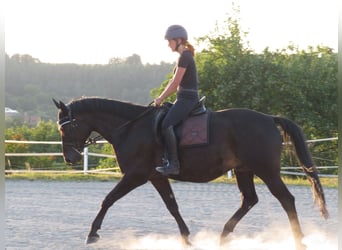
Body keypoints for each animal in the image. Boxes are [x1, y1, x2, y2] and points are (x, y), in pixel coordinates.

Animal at [52, 96, 328, 250]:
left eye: (65, 128)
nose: (70, 158)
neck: (130, 127)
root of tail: (269, 119)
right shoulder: (156, 176)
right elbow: (172, 206)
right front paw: (186, 238)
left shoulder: (136, 175)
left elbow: (107, 199)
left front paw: (92, 233)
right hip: (244, 170)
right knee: (250, 199)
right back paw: (223, 236)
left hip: (266, 170)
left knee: (286, 200)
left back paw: (299, 240)